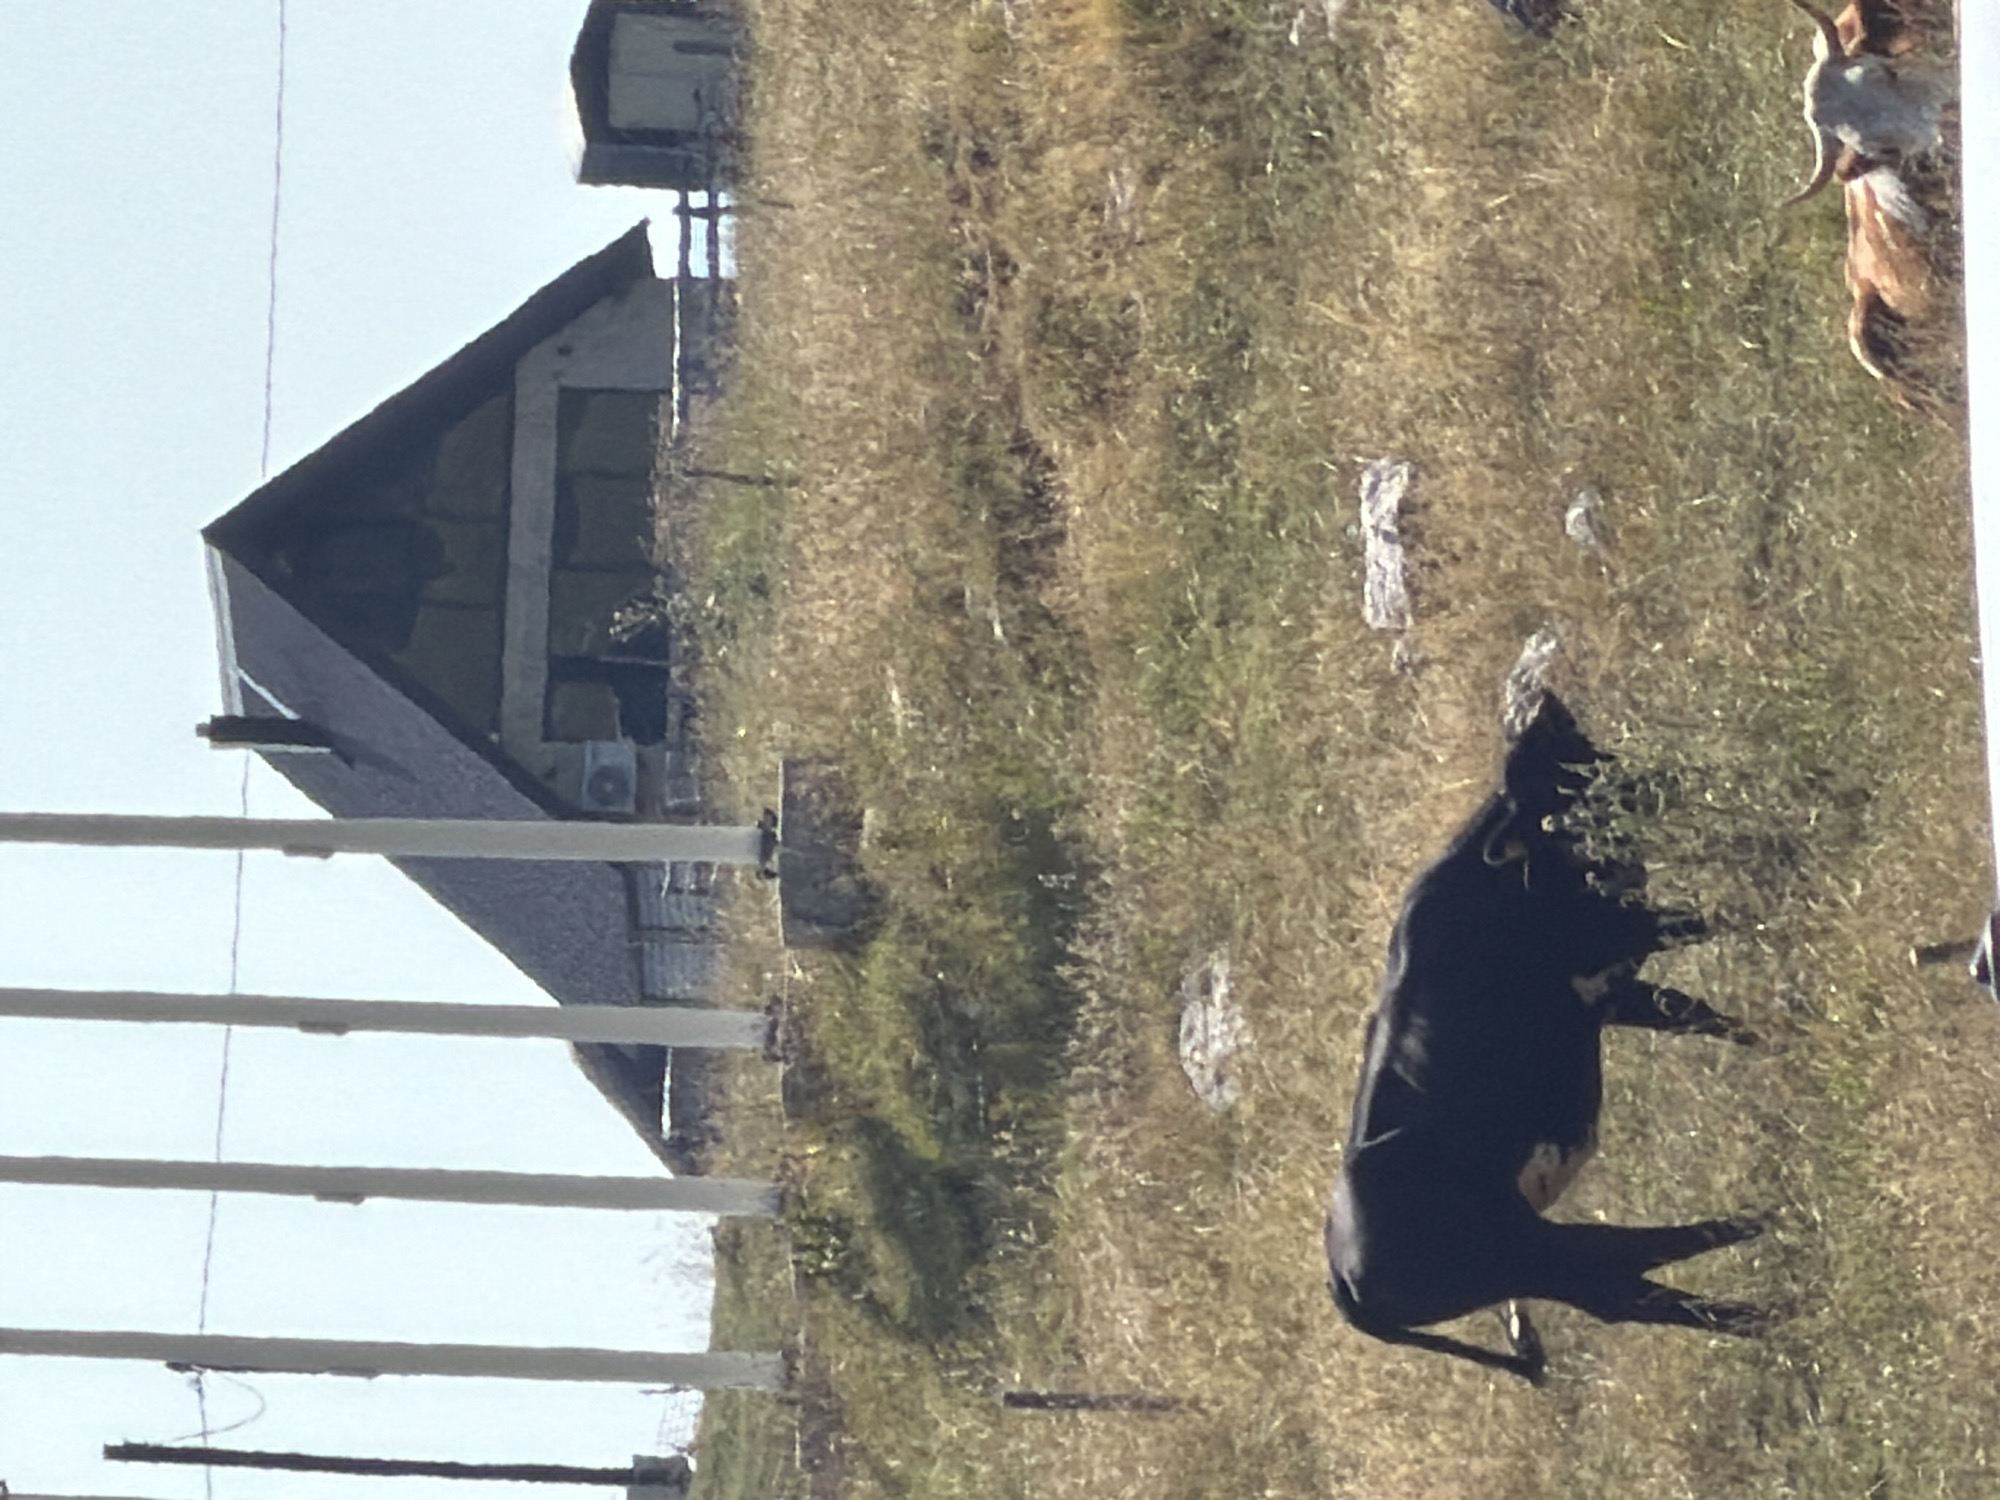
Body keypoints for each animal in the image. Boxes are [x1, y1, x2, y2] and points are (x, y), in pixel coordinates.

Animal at [1326, 694, 1764, 1383]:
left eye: (1581, 750)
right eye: (1558, 789)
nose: (1657, 784)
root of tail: (1340, 1276)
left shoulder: (1613, 991)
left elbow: (1704, 1015)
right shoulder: (1630, 934)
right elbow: (1719, 917)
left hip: (1530, 1259)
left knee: (1627, 1289)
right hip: (1526, 1249)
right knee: (1629, 1265)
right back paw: (1766, 1245)